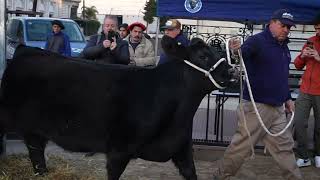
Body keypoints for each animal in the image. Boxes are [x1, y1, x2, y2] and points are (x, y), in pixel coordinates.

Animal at [0, 35, 235, 179]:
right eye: (203, 56)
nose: (231, 72)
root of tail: (25, 50)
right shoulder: (118, 150)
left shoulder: (182, 148)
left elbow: (191, 172)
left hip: (35, 129)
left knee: (37, 154)